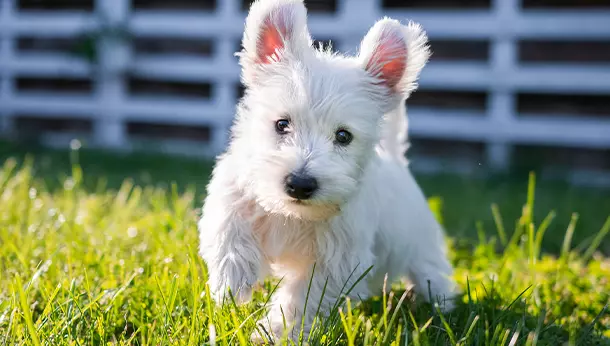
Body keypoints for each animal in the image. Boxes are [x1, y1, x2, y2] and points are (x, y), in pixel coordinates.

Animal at [200, 0, 456, 340]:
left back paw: (441, 305)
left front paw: (276, 332)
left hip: (421, 245)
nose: (299, 184)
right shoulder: (233, 195)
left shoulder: (337, 264)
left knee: (432, 272)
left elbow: (301, 299)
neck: (293, 215)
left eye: (343, 136)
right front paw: (232, 284)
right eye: (282, 124)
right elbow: (228, 233)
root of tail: (397, 159)